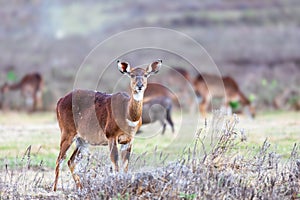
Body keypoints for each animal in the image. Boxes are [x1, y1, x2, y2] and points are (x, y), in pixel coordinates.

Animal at [53, 59, 162, 191]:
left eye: (146, 74)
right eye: (132, 74)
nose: (139, 86)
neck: (127, 115)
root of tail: (60, 100)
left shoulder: (128, 140)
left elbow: (125, 167)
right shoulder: (111, 136)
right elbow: (115, 166)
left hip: (82, 140)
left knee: (71, 161)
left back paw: (81, 188)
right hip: (67, 133)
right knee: (59, 160)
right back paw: (54, 190)